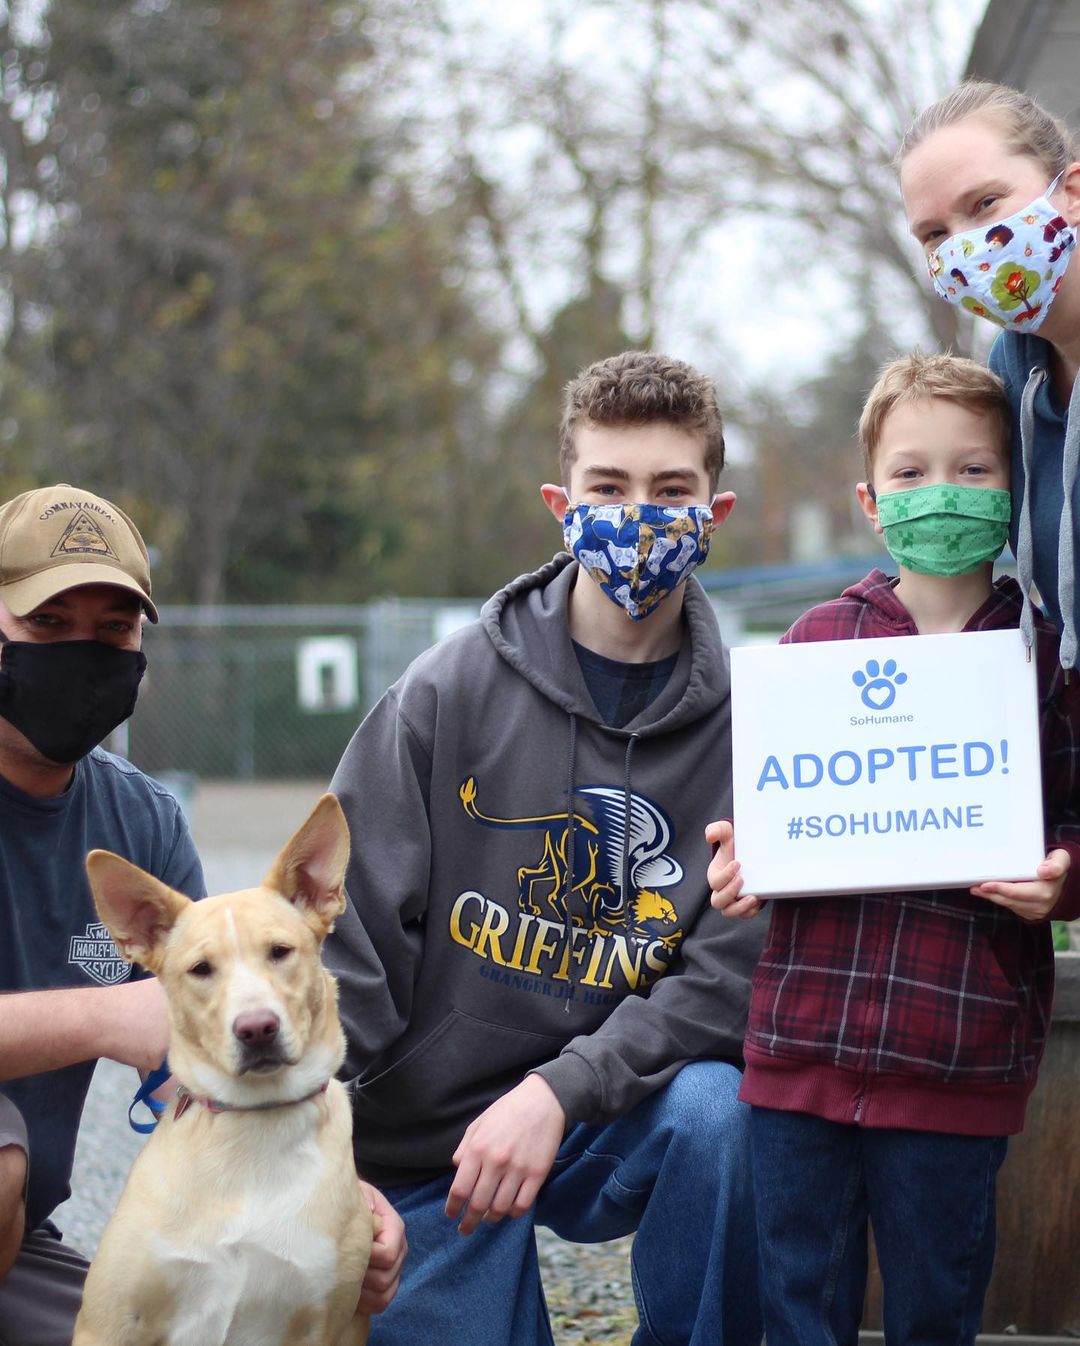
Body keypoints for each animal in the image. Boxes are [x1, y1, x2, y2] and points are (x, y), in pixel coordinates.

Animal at [72, 791, 374, 1346]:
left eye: (280, 952)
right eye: (200, 969)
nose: (257, 1029)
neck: (251, 1128)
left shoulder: (324, 1323)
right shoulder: (107, 1323)